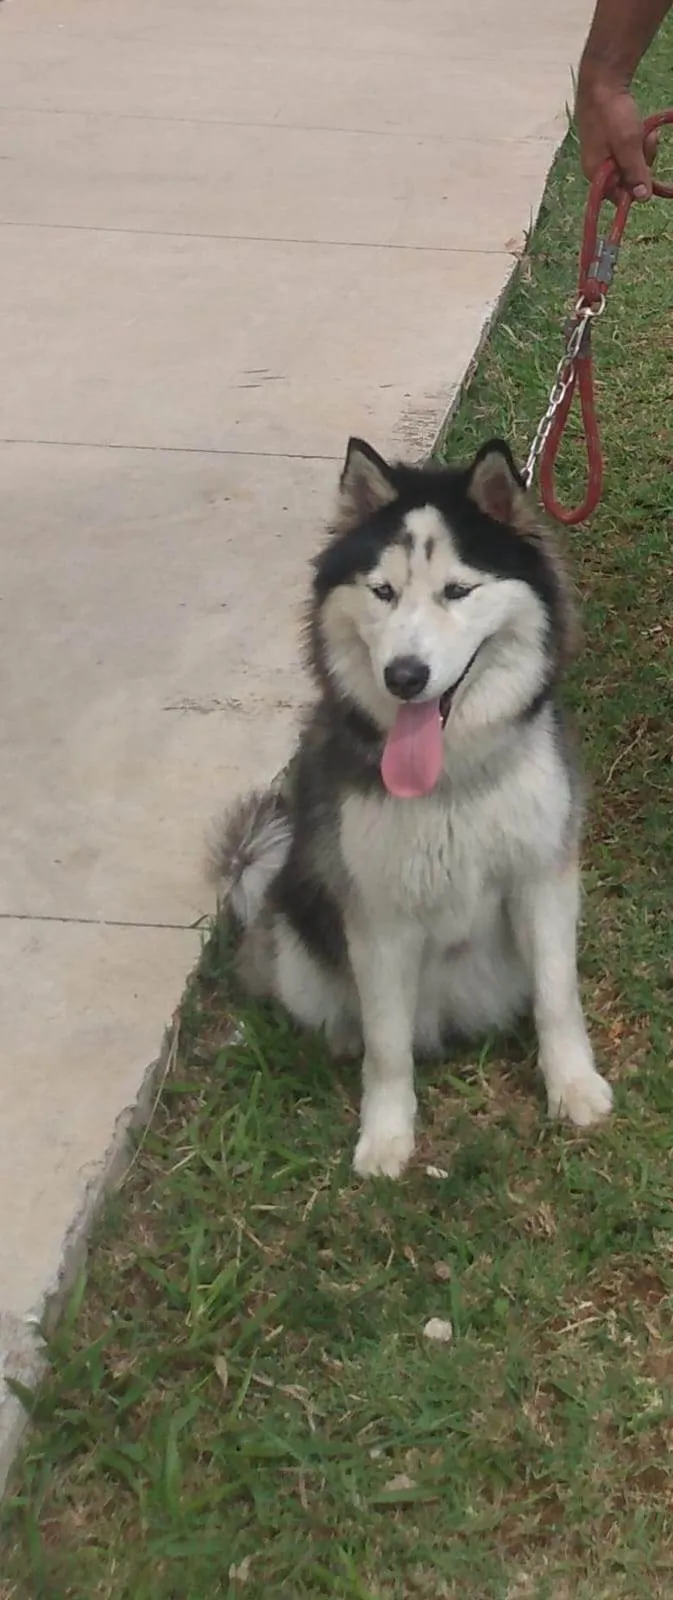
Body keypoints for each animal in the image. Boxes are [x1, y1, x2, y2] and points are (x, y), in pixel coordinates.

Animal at [207, 438, 610, 1177]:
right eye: (383, 592)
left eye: (457, 591)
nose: (404, 676)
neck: (449, 783)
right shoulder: (379, 919)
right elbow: (388, 1045)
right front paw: (386, 1137)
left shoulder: (543, 878)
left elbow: (557, 998)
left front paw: (573, 1087)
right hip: (300, 949)